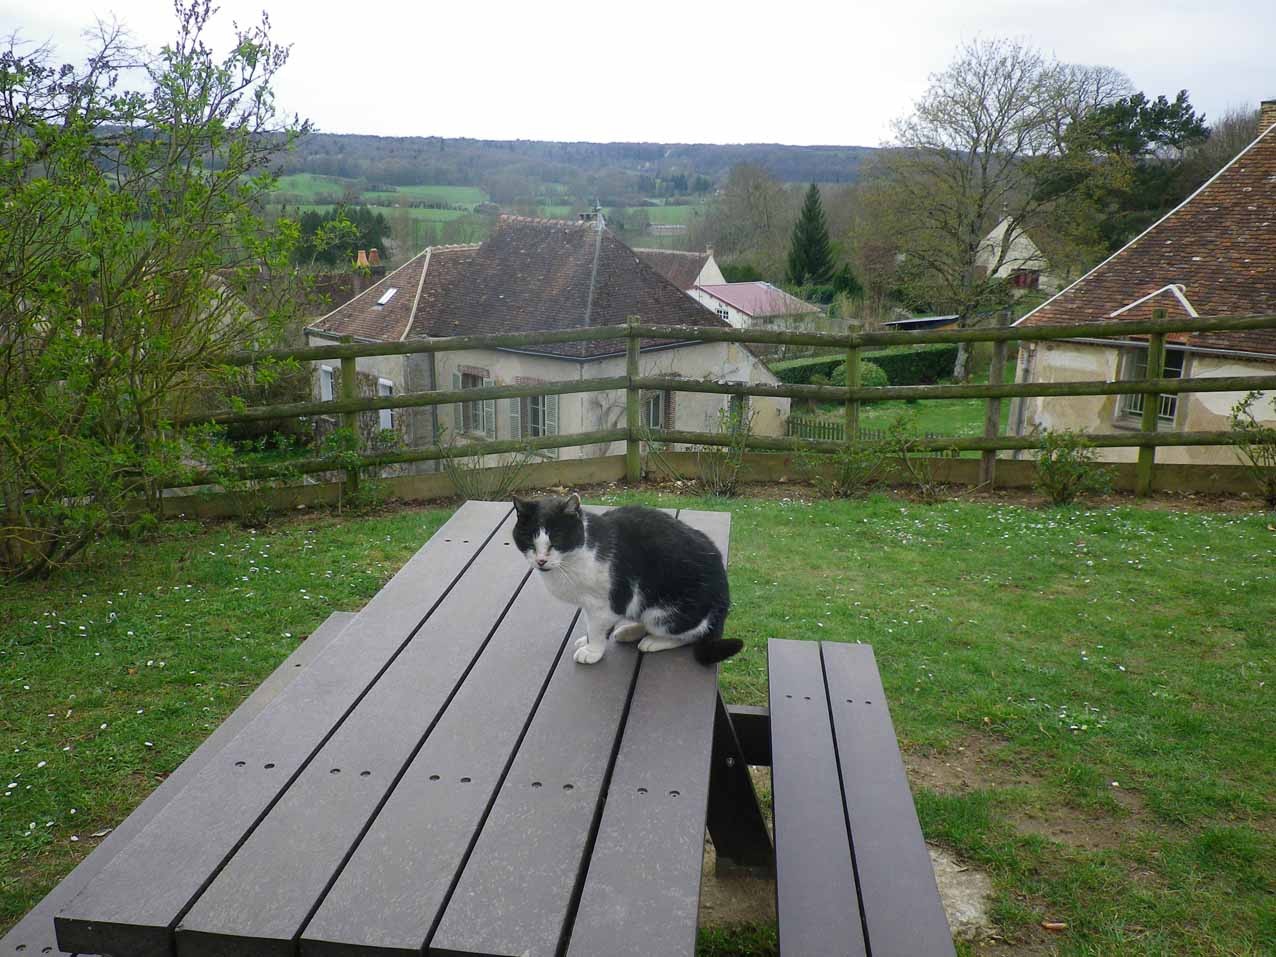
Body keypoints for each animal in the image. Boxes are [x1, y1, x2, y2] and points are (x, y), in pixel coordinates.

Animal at [507, 495, 740, 668]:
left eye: (556, 539)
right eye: (529, 540)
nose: (541, 560)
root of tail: (724, 600)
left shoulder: (607, 602)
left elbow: (597, 628)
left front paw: (592, 650)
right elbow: (591, 625)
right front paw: (588, 640)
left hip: (665, 612)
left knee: (689, 634)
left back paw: (654, 641)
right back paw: (629, 631)